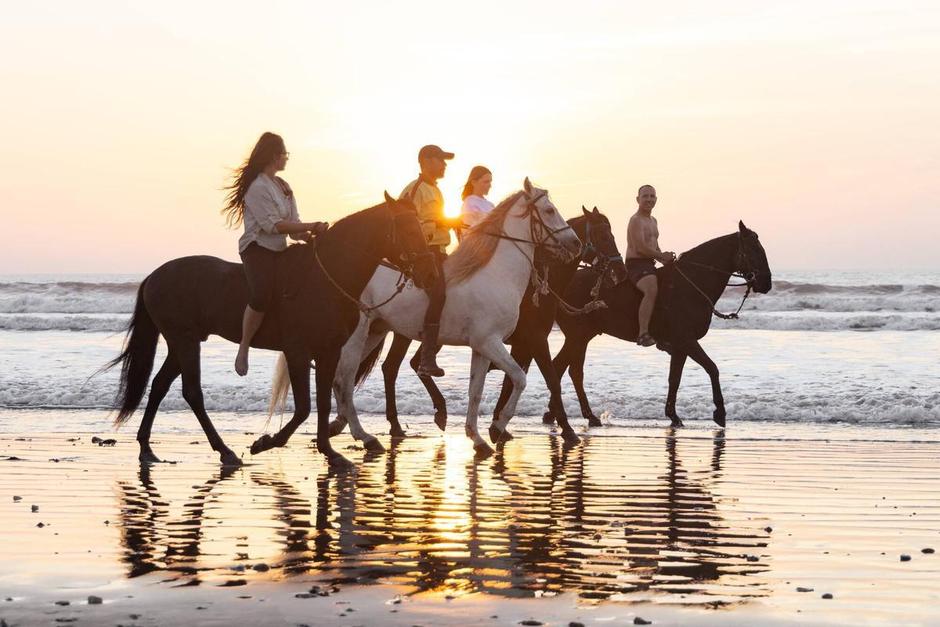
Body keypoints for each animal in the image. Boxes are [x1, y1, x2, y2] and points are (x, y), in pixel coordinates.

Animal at [104, 194, 436, 468]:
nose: (429, 272)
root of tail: (153, 276)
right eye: (406, 228)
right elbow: (303, 407)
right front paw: (267, 442)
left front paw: (329, 451)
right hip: (184, 341)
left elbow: (322, 402)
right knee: (191, 392)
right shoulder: (298, 351)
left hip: (182, 341)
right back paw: (224, 451)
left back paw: (147, 448)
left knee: (160, 385)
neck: (327, 278)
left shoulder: (327, 353)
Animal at [264, 177, 584, 456]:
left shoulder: (482, 347)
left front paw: (477, 437)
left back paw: (344, 427)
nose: (576, 243)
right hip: (356, 336)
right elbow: (519, 378)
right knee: (344, 379)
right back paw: (362, 434)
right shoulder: (493, 342)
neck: (496, 274)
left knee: (343, 380)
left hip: (375, 332)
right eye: (549, 210)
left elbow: (476, 391)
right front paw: (497, 427)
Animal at [364, 209, 628, 444]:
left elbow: (511, 380)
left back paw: (419, 417)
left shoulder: (520, 345)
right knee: (401, 365)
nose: (621, 271)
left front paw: (498, 425)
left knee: (400, 365)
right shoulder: (534, 340)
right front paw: (567, 429)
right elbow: (549, 378)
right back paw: (411, 419)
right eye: (604, 235)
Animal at [544, 221, 772, 426]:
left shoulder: (680, 347)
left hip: (581, 337)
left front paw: (673, 415)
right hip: (578, 336)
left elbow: (675, 379)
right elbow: (712, 368)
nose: (767, 283)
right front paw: (720, 412)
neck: (692, 284)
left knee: (567, 369)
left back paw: (563, 414)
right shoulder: (687, 340)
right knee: (564, 368)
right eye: (754, 250)